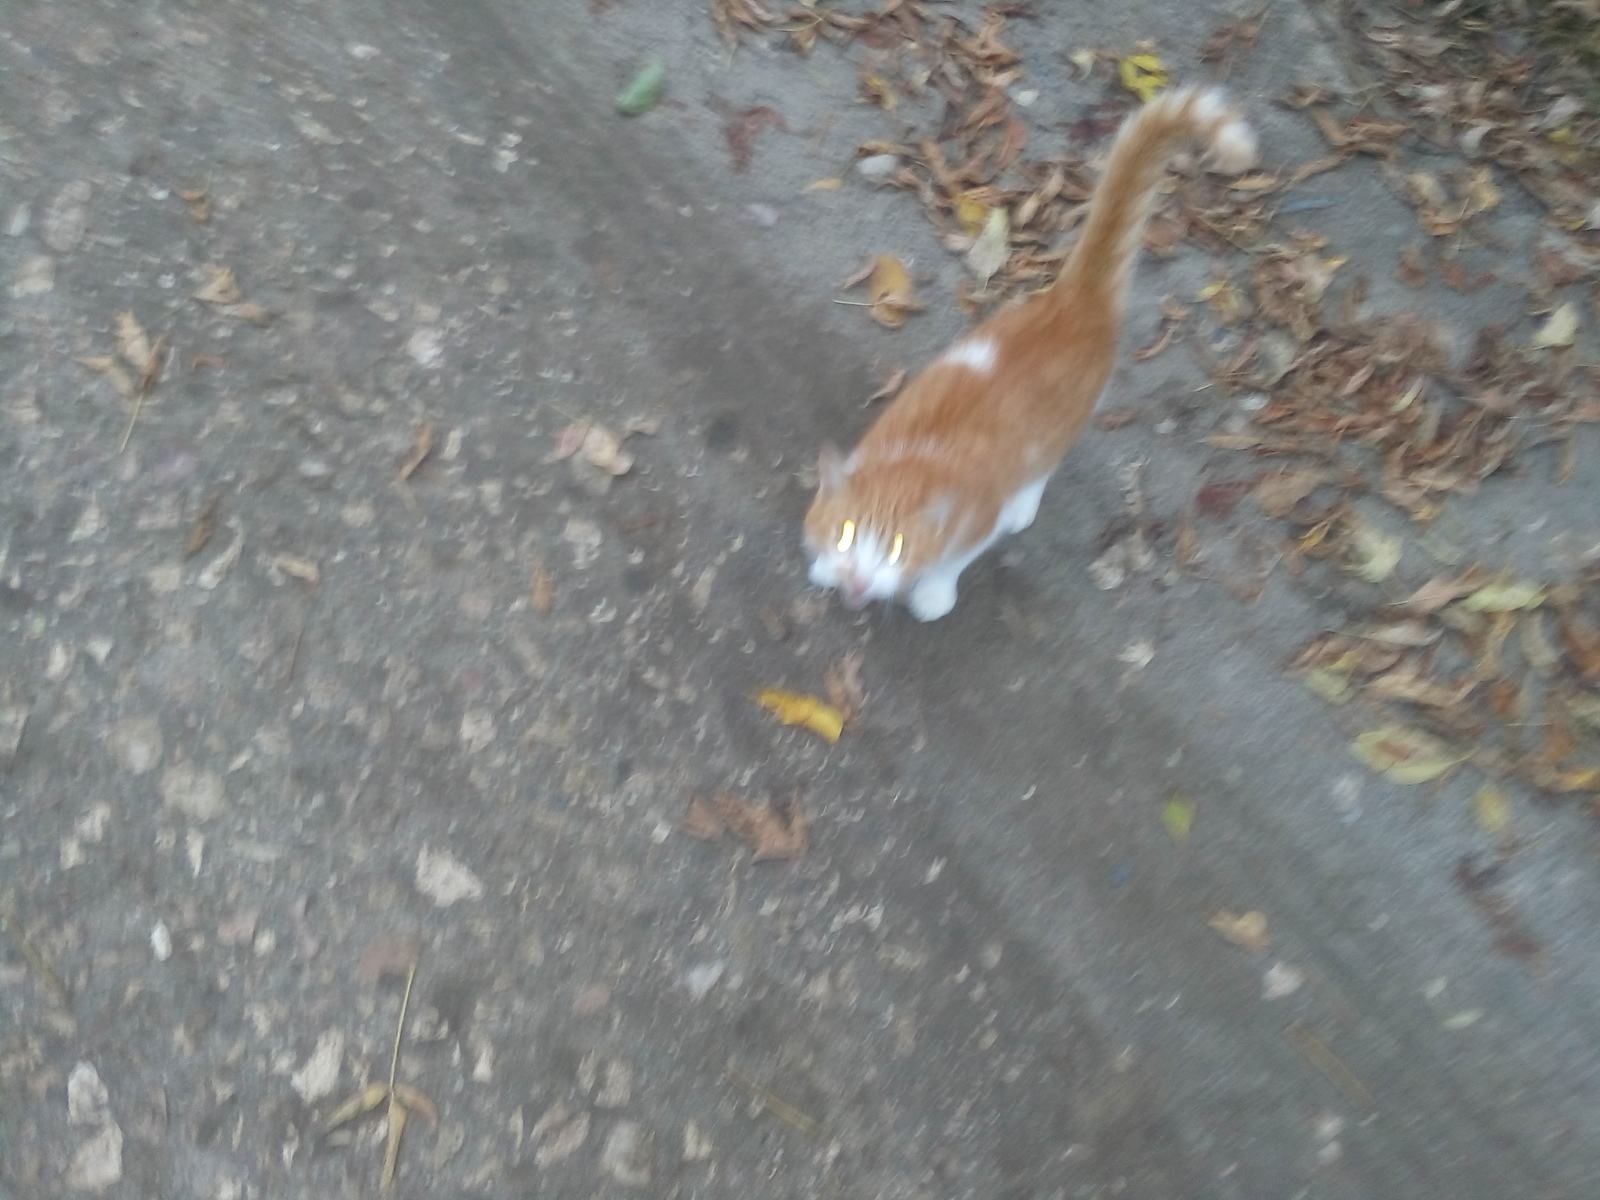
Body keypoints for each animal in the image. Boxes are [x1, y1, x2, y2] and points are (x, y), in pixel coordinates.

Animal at [806, 86, 1254, 620]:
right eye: (846, 535)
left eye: (896, 549)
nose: (857, 581)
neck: (912, 462)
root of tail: (1071, 301)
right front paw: (825, 567)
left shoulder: (979, 522)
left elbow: (953, 561)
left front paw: (933, 592)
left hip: (1061, 425)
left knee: (1045, 463)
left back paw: (1024, 503)